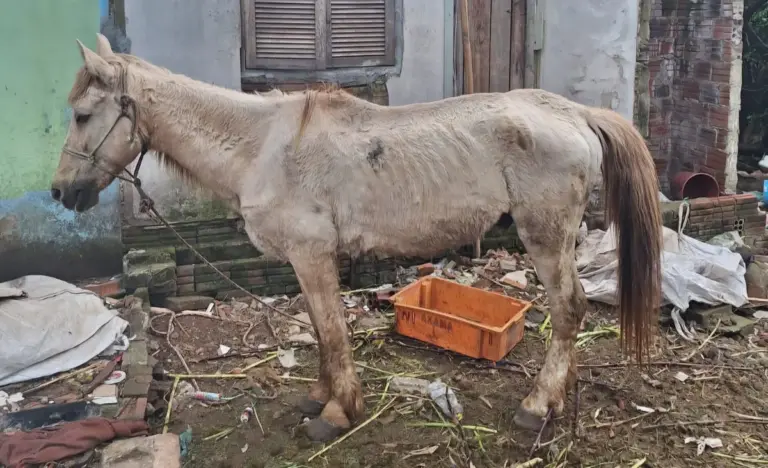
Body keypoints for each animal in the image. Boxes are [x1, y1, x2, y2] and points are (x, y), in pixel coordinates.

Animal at [52, 34, 662, 442]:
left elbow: (332, 331)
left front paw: (338, 412)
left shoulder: (312, 256)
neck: (261, 146)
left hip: (547, 238)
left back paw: (537, 404)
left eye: (82, 114)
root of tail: (576, 112)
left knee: (569, 309)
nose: (61, 192)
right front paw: (320, 397)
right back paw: (558, 398)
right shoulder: (306, 263)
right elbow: (323, 333)